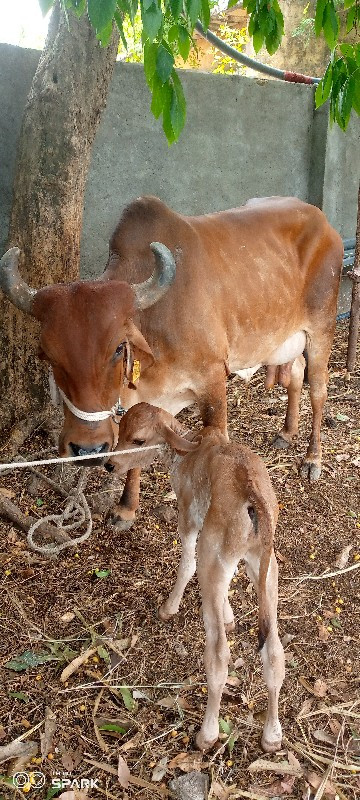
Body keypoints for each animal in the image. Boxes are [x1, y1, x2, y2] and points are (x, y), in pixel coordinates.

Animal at [0, 197, 344, 528]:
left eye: (118, 347)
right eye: (48, 354)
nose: (87, 449)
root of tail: (323, 221)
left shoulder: (213, 382)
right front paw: (125, 509)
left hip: (321, 329)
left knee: (318, 390)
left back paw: (313, 458)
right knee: (296, 374)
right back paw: (286, 433)